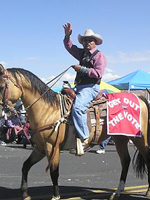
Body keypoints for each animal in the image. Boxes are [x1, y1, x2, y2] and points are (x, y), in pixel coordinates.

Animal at [0, 64, 149, 200]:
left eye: (1, 87)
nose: (3, 111)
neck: (48, 109)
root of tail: (140, 99)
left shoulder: (52, 147)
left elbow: (54, 172)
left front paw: (55, 196)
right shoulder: (40, 148)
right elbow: (25, 166)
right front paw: (25, 194)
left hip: (139, 138)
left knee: (146, 157)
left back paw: (146, 192)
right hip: (120, 138)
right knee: (125, 160)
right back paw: (118, 191)